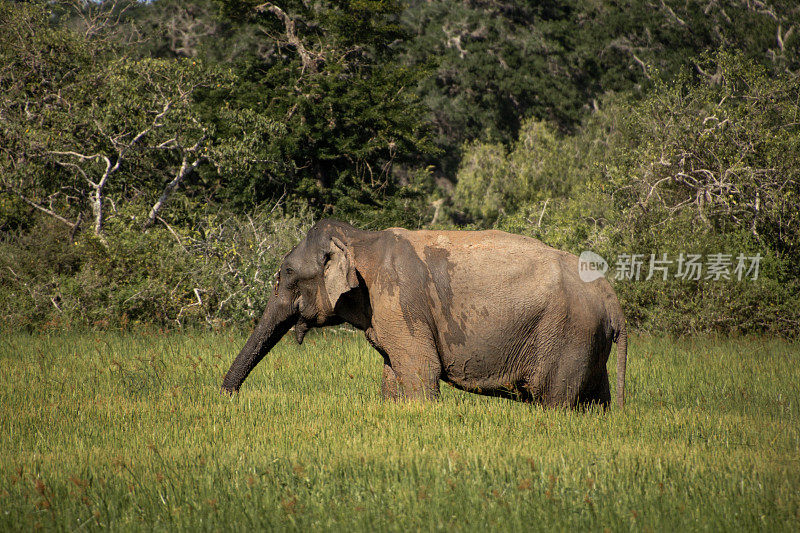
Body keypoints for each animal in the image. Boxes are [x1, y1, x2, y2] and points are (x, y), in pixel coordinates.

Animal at [222, 218, 628, 410]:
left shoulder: (400, 301)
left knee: (557, 401)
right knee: (595, 401)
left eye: (288, 273)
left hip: (568, 335)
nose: (228, 399)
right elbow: (393, 372)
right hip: (589, 342)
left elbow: (422, 370)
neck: (359, 239)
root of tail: (611, 296)